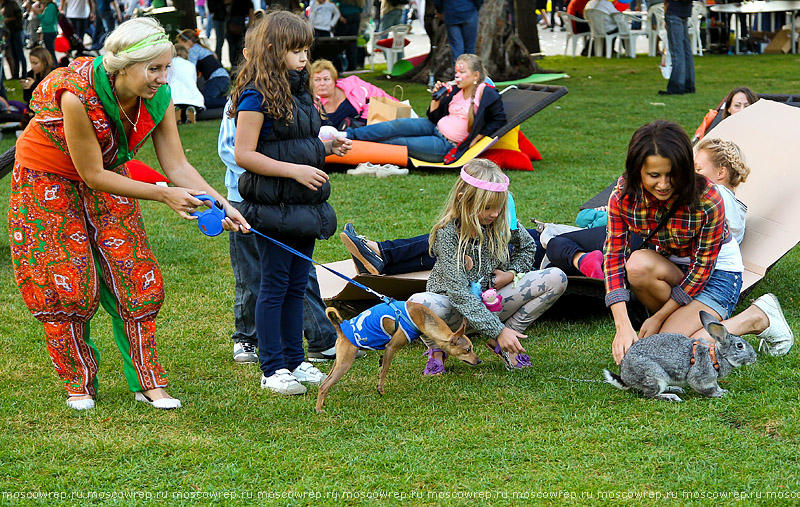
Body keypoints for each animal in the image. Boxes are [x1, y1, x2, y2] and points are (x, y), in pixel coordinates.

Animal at [316, 302, 482, 412]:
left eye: (472, 348)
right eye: (467, 350)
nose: (479, 360)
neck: (421, 317)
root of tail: (340, 329)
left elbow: (382, 367)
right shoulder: (391, 347)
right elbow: (384, 371)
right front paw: (380, 389)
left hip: (339, 361)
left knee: (324, 383)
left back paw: (322, 403)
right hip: (345, 364)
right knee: (324, 386)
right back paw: (318, 408)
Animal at [608, 312, 756, 402]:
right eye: (740, 346)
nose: (754, 357)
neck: (715, 357)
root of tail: (625, 377)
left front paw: (723, 390)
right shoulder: (700, 377)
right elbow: (707, 388)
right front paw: (719, 394)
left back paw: (676, 389)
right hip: (654, 375)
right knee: (650, 395)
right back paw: (672, 397)